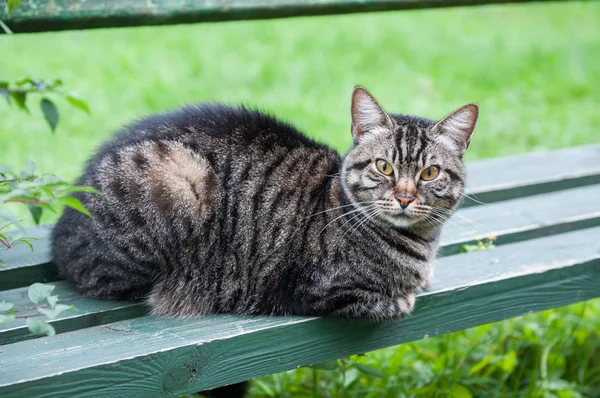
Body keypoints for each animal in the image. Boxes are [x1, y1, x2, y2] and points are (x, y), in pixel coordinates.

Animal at [54, 86, 480, 320]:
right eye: (384, 166)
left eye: (429, 173)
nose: (405, 197)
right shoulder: (315, 289)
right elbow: (392, 302)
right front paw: (405, 295)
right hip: (179, 178)